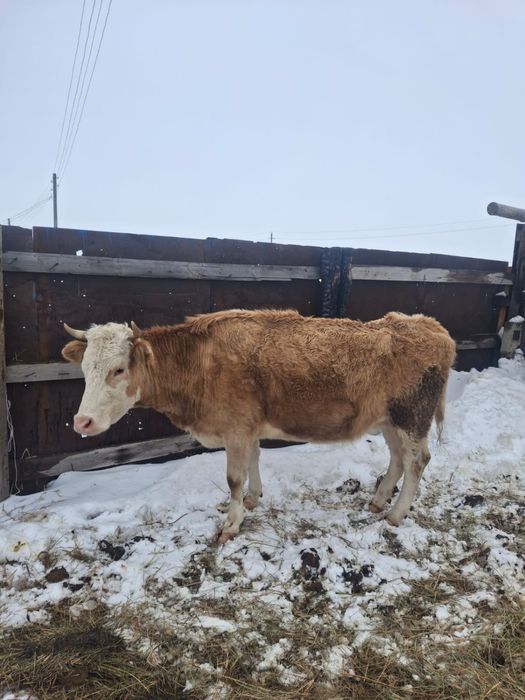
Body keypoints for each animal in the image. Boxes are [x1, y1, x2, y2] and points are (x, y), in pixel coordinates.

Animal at [62, 309, 456, 543]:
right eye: (85, 368)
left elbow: (234, 477)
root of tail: (430, 325)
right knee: (397, 459)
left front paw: (231, 523)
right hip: (391, 420)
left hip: (412, 417)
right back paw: (377, 501)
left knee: (417, 462)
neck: (199, 362)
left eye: (118, 369)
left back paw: (395, 514)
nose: (82, 421)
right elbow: (253, 461)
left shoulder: (235, 428)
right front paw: (252, 500)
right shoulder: (247, 427)